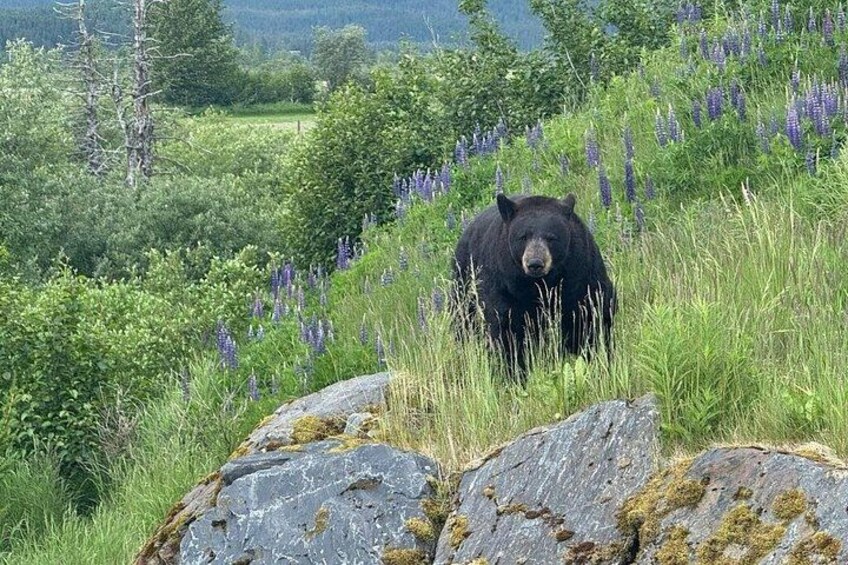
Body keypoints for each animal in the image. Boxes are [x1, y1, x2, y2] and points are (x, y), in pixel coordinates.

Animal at [452, 192, 616, 381]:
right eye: (523, 236)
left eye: (551, 237)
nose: (535, 263)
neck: (539, 284)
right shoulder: (503, 283)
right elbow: (505, 327)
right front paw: (514, 373)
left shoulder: (581, 274)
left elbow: (593, 315)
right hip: (464, 276)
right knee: (463, 317)